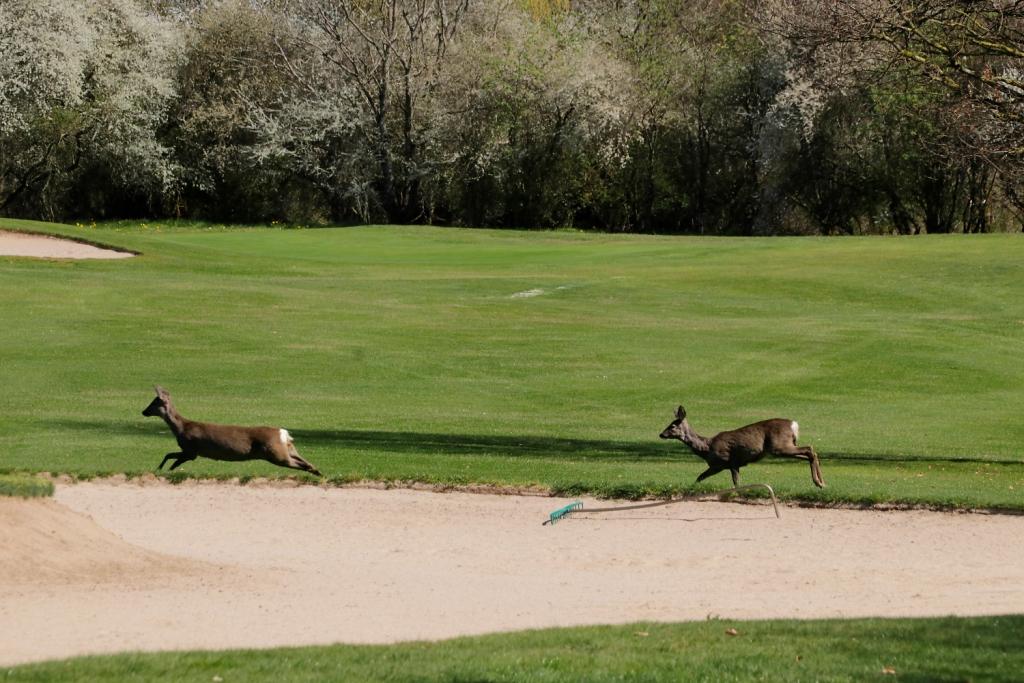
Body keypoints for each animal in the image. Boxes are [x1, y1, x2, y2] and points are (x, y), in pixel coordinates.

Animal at [140, 387, 321, 479]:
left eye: (154, 403)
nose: (143, 412)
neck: (182, 428)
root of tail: (283, 433)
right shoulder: (190, 452)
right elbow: (170, 458)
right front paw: (162, 469)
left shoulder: (191, 450)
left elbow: (171, 458)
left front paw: (161, 469)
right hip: (286, 449)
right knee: (306, 462)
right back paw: (318, 474)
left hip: (275, 454)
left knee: (301, 464)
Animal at [663, 403, 823, 489]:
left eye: (672, 426)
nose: (661, 434)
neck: (706, 448)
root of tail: (793, 425)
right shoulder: (720, 466)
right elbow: (699, 477)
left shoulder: (729, 461)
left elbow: (736, 483)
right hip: (784, 447)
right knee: (810, 453)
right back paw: (821, 483)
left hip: (779, 446)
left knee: (810, 449)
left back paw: (819, 482)